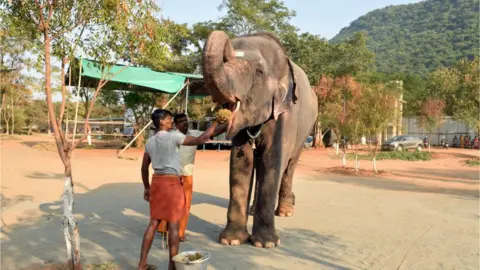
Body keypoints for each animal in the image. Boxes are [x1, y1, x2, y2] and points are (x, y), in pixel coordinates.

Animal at [201, 30, 316, 248]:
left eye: (259, 72)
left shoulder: (286, 115)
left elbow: (272, 160)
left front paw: (265, 244)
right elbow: (241, 162)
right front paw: (231, 240)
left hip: (306, 131)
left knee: (289, 167)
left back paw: (285, 211)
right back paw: (254, 210)